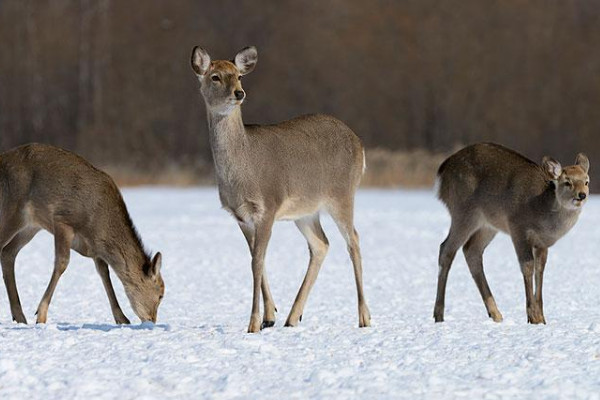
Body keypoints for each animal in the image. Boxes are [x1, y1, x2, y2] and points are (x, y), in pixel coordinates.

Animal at [0, 144, 164, 324]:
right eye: (161, 295)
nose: (152, 321)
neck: (96, 228)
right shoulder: (63, 220)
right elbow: (62, 263)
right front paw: (41, 315)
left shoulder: (95, 249)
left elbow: (104, 274)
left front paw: (121, 318)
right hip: (12, 208)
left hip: (30, 227)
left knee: (7, 253)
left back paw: (19, 317)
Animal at [192, 45, 370, 332]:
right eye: (215, 77)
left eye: (239, 76)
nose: (239, 93)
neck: (242, 172)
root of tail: (360, 144)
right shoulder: (241, 216)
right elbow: (257, 259)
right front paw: (269, 316)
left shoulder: (269, 204)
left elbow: (256, 261)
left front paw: (253, 323)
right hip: (306, 211)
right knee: (321, 244)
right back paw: (293, 317)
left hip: (342, 194)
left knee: (353, 240)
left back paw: (364, 317)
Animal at [434, 142, 588, 324]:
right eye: (567, 182)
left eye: (586, 181)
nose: (582, 195)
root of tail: (442, 171)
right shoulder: (518, 228)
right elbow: (527, 266)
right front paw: (533, 316)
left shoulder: (541, 243)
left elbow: (540, 270)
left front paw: (542, 318)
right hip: (463, 211)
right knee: (446, 249)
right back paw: (438, 315)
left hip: (487, 225)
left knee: (471, 250)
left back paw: (495, 313)